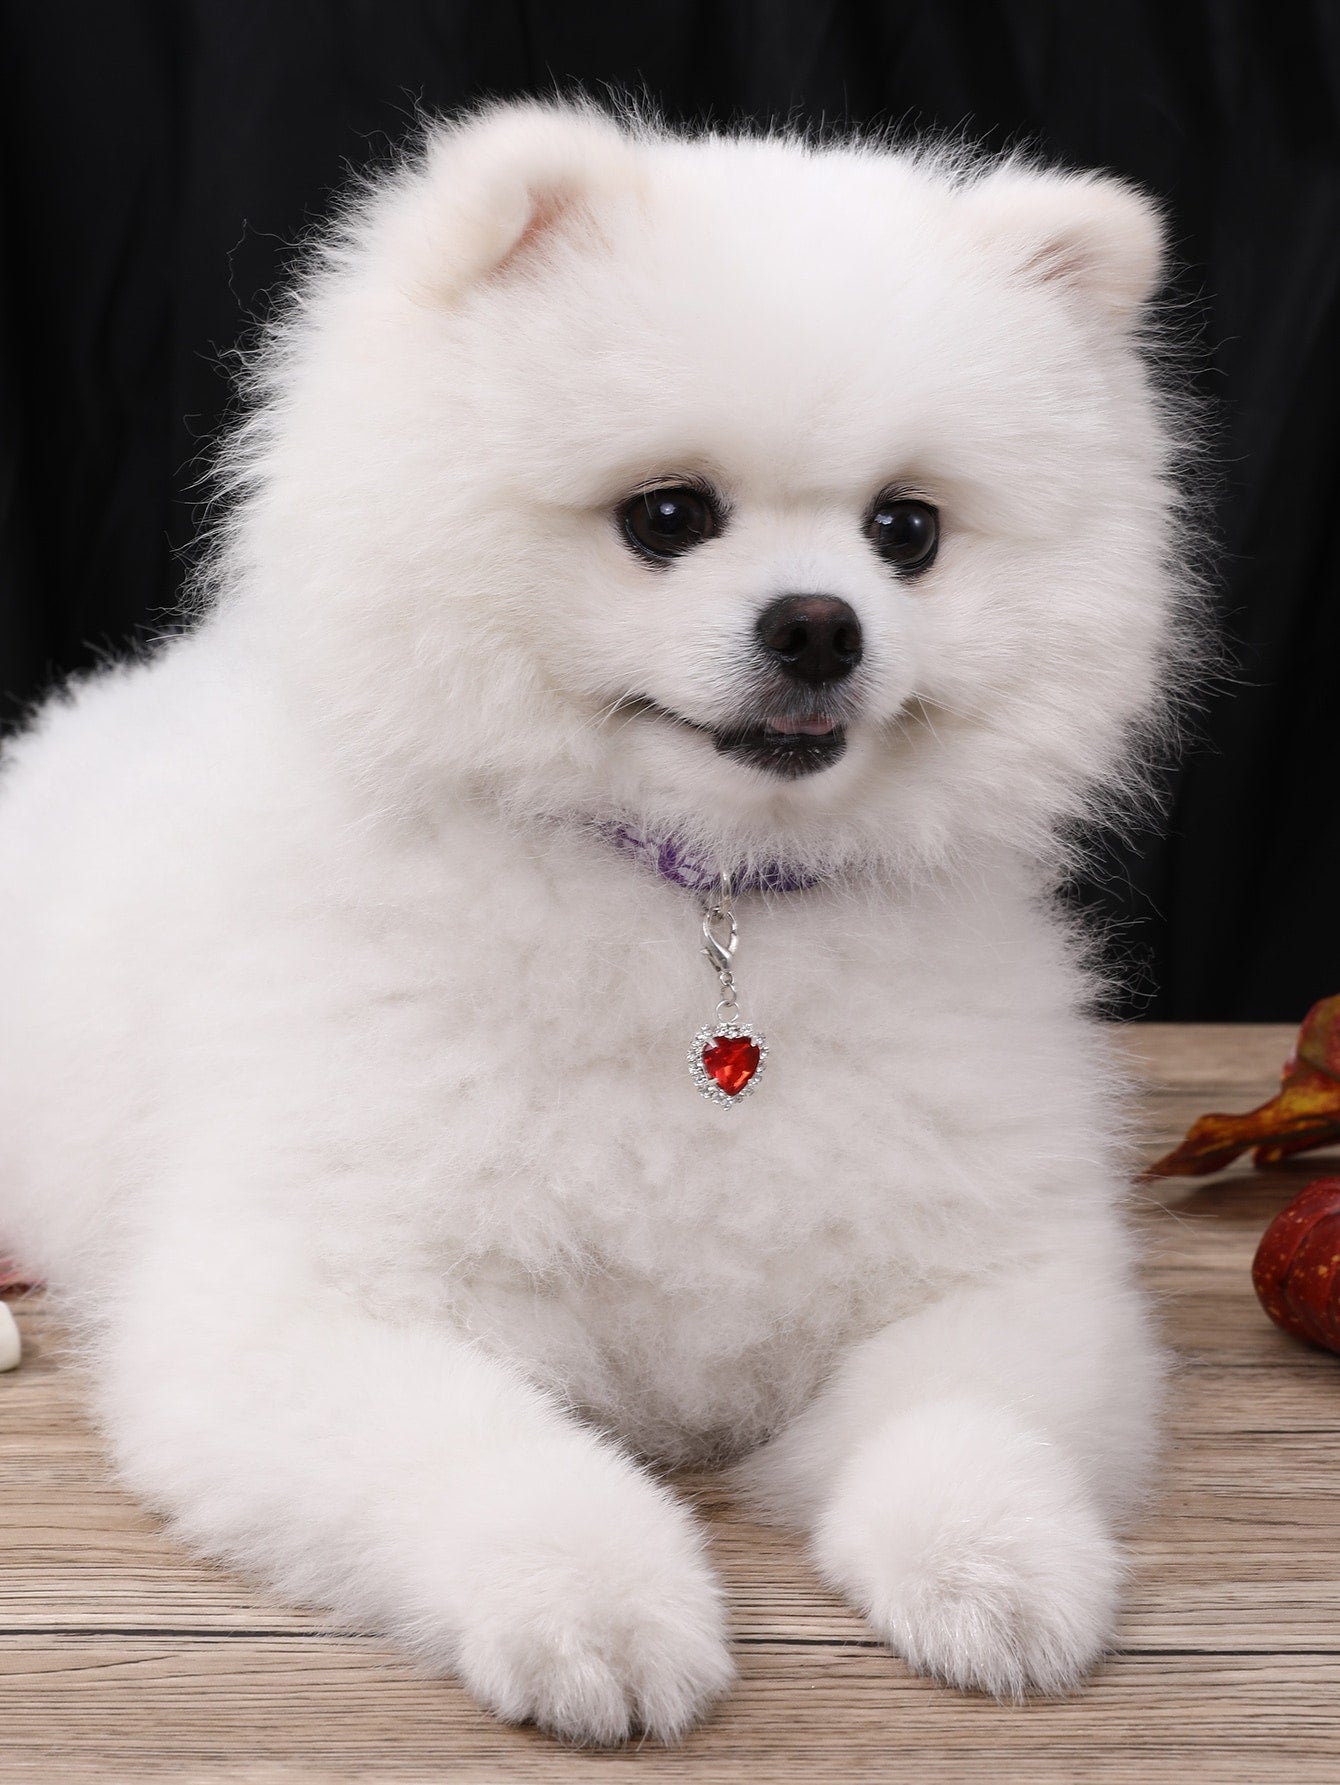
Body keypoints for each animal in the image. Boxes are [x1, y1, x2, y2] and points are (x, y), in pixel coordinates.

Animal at [2, 101, 1191, 1742]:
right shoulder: (300, 1299)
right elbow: (489, 1455)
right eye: (666, 517)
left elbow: (966, 1417)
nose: (818, 624)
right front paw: (595, 1609)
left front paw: (996, 1568)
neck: (702, 901)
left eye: (908, 532)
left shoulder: (1003, 1273)